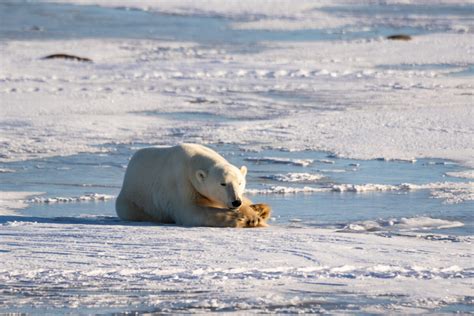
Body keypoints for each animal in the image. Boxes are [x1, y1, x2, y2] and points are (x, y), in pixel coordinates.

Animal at [115, 143, 270, 227]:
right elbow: (190, 211)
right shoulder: (180, 182)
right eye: (223, 184)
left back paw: (261, 207)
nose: (236, 201)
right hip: (132, 204)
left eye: (240, 182)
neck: (191, 160)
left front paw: (254, 214)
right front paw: (239, 218)